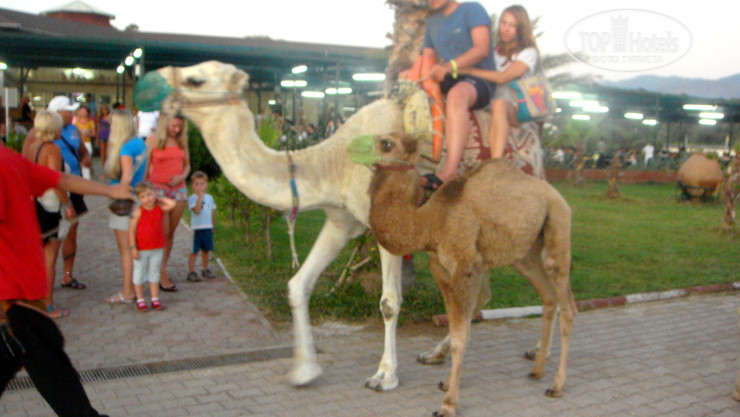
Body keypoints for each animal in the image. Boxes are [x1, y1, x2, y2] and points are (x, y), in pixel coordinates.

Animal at [351, 132, 576, 416]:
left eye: (386, 143)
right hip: (525, 255)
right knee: (549, 297)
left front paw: (448, 404)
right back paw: (537, 371)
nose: (350, 147)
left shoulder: (466, 266)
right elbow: (458, 326)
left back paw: (557, 385)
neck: (428, 221)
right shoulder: (441, 270)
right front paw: (447, 383)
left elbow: (461, 336)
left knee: (567, 306)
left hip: (558, 228)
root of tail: (556, 195)